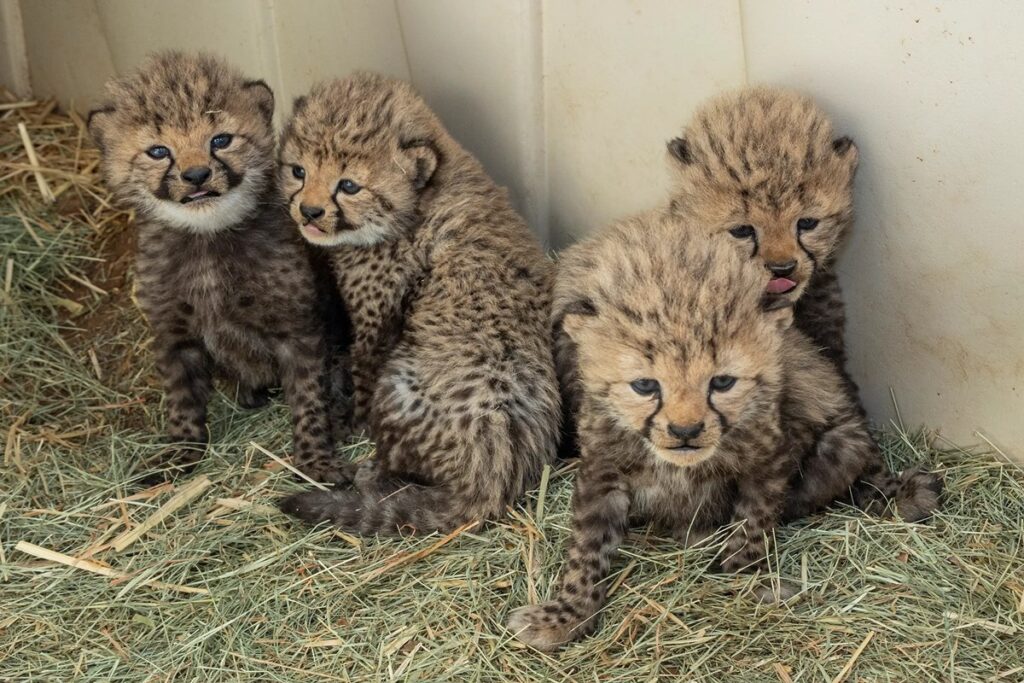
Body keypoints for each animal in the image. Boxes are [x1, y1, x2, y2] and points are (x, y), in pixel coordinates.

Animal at [88, 51, 348, 482]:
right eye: (158, 151)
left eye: (220, 140)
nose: (196, 176)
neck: (206, 239)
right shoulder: (175, 334)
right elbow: (181, 399)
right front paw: (180, 453)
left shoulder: (298, 331)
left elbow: (310, 399)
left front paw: (315, 461)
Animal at [275, 73, 560, 534]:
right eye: (297, 171)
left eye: (348, 185)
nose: (309, 212)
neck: (421, 200)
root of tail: (493, 478)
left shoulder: (376, 323)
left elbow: (363, 373)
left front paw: (350, 422)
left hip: (399, 386)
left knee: (393, 460)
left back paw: (367, 472)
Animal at [508, 212, 941, 651]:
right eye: (645, 385)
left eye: (722, 382)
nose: (685, 430)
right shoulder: (602, 470)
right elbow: (588, 548)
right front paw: (567, 613)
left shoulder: (771, 458)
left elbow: (754, 524)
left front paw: (743, 576)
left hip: (844, 443)